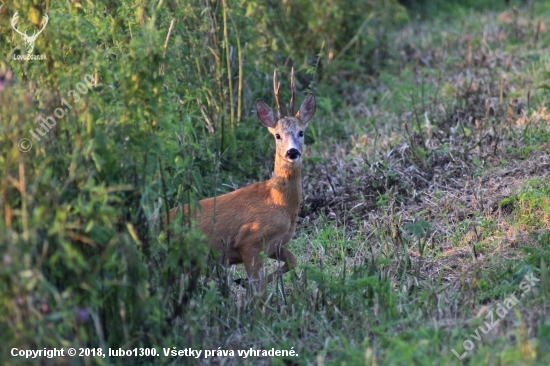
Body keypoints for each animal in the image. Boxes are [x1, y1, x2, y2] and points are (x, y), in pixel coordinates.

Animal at [168, 68, 316, 298]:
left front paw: (241, 282)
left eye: (301, 132)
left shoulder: (274, 245)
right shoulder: (249, 240)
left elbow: (292, 260)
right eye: (277, 135)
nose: (292, 152)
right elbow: (259, 289)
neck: (278, 201)